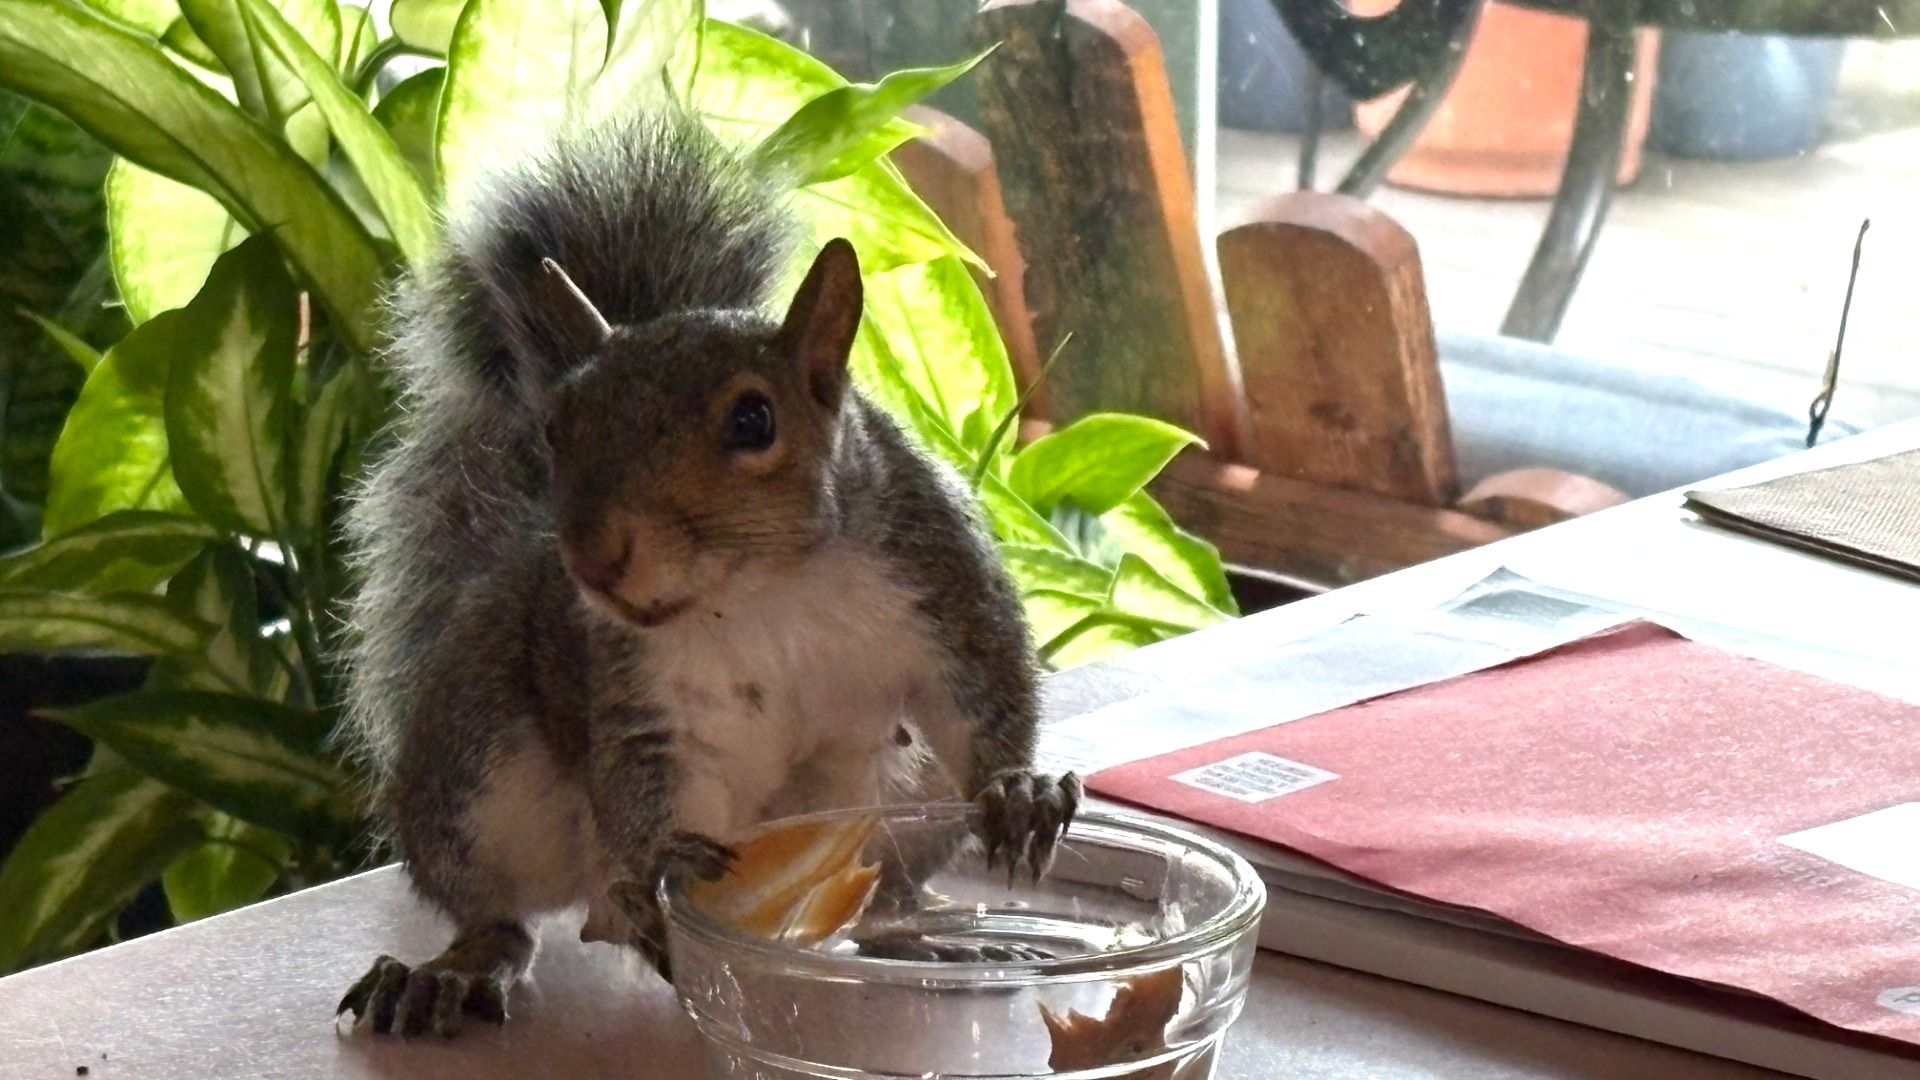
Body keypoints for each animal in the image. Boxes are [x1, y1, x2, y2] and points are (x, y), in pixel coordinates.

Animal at [331, 109, 1082, 1039]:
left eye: (754, 420)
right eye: (556, 426)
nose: (593, 556)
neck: (762, 592)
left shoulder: (940, 578)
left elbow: (986, 694)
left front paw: (1021, 791)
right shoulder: (646, 701)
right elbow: (648, 788)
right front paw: (664, 868)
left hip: (909, 808)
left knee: (878, 894)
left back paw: (918, 940)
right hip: (474, 766)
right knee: (497, 907)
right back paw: (457, 969)